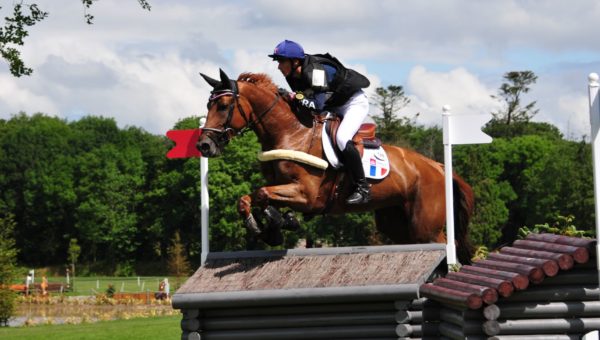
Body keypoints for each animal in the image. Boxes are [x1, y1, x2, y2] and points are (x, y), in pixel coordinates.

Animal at [197, 69, 474, 262]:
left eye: (223, 106)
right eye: (208, 105)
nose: (204, 146)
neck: (291, 132)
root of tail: (437, 166)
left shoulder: (307, 195)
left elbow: (262, 194)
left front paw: (274, 225)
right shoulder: (282, 187)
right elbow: (250, 198)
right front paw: (272, 226)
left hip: (425, 227)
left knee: (447, 245)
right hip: (396, 223)